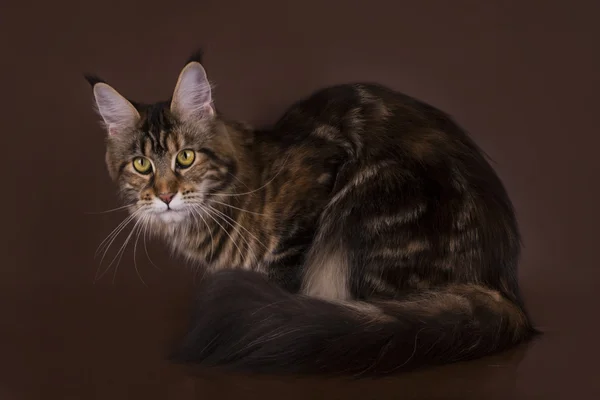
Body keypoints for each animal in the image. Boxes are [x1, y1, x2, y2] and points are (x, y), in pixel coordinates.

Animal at [85, 49, 536, 376]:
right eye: (141, 165)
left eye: (185, 157)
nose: (165, 196)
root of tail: (505, 292)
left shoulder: (307, 206)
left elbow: (284, 287)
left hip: (365, 201)